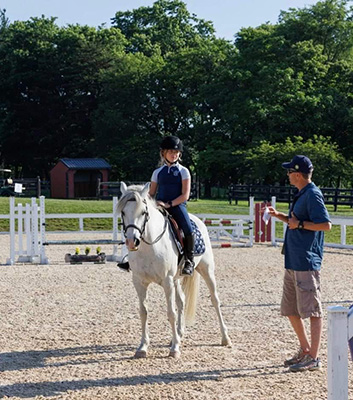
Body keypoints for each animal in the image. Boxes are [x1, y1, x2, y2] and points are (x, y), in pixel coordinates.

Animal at [118, 183, 231, 358]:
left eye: (143, 212)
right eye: (123, 212)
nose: (132, 242)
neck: (150, 246)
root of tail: (197, 220)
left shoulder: (167, 281)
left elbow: (170, 312)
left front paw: (175, 349)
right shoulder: (139, 282)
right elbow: (143, 312)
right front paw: (143, 347)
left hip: (206, 270)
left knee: (215, 301)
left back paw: (225, 338)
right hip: (177, 278)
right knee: (182, 301)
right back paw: (178, 334)